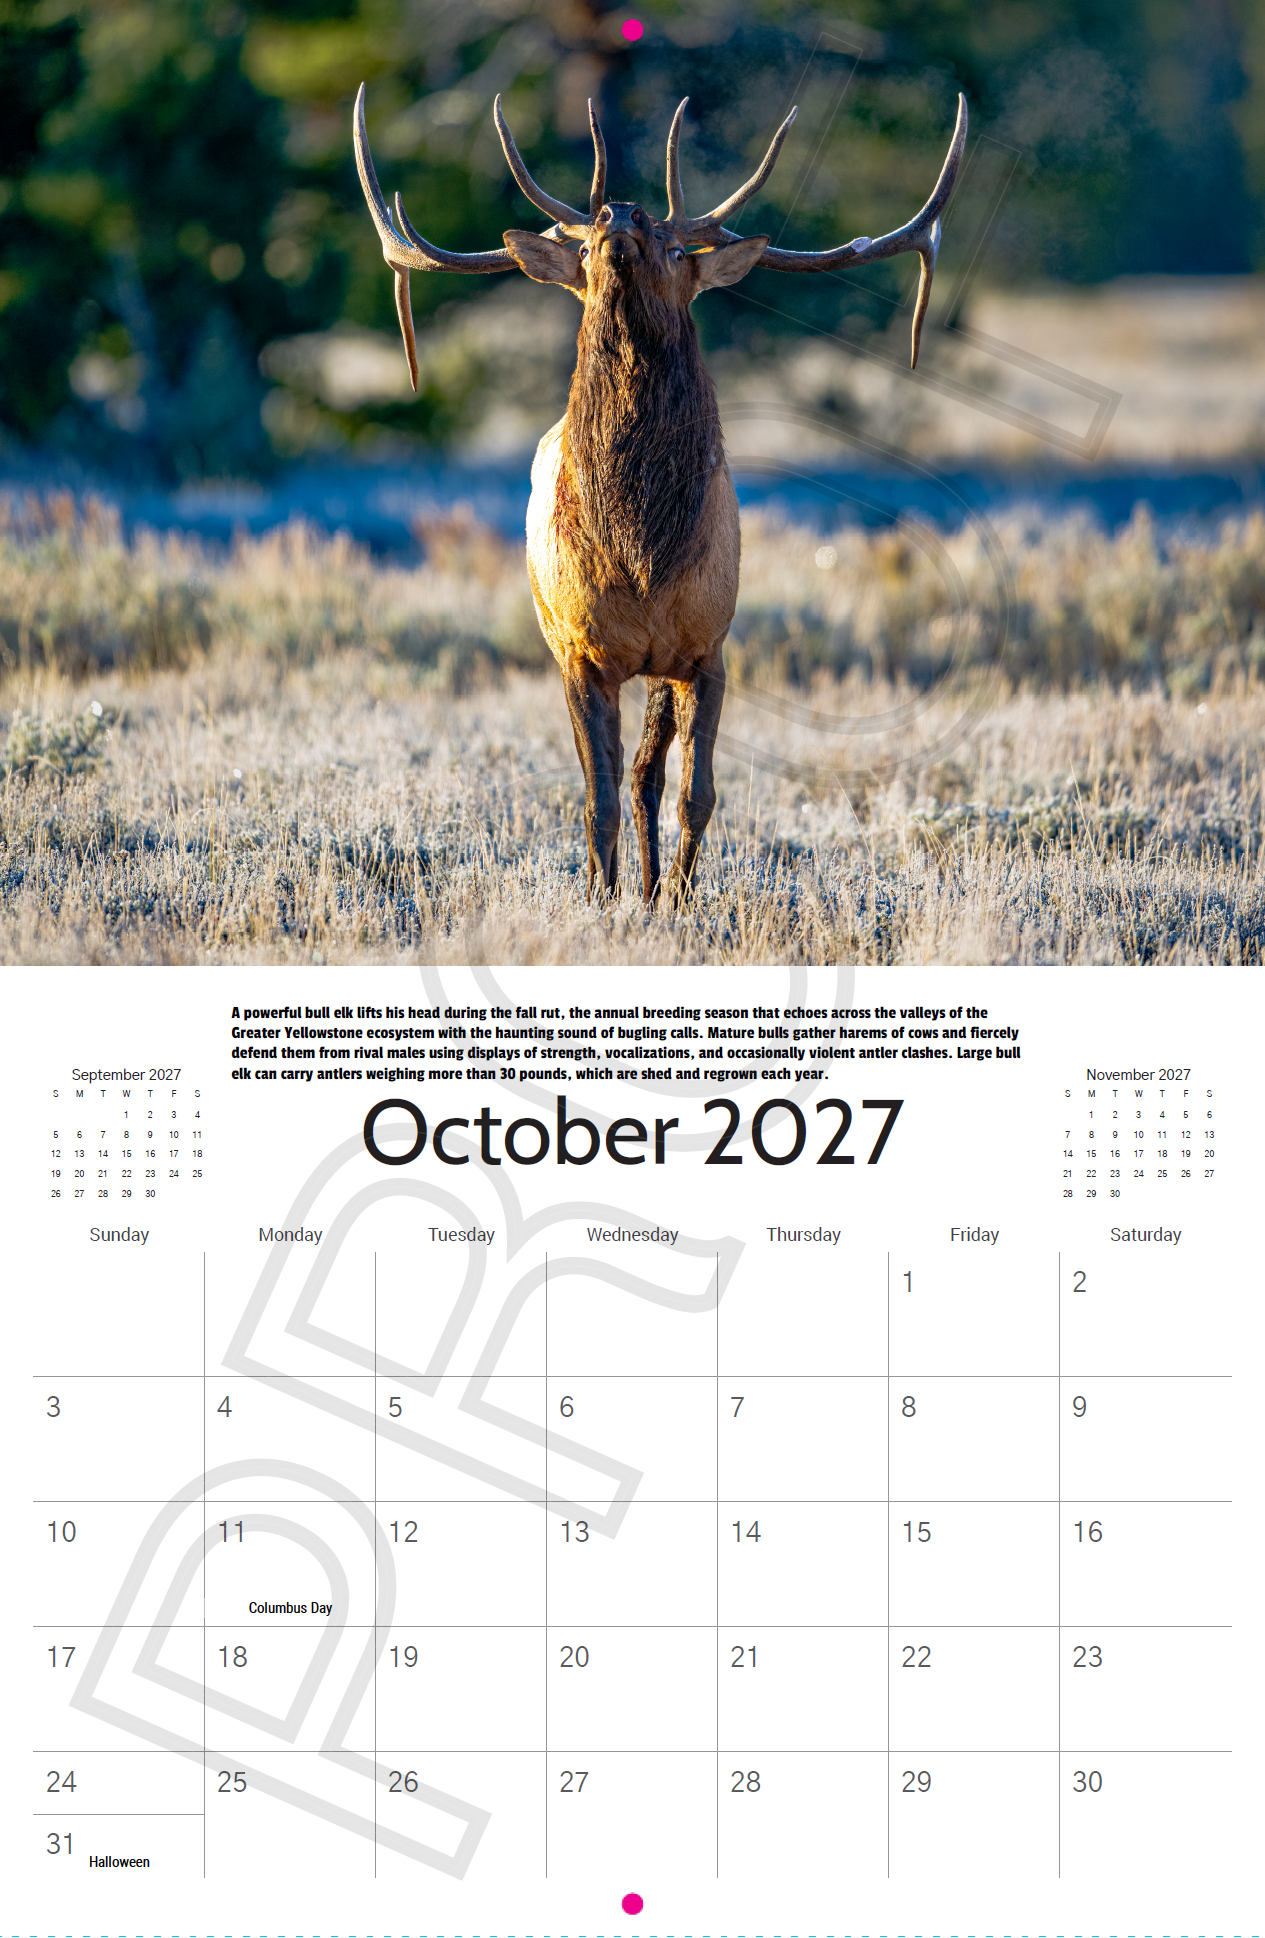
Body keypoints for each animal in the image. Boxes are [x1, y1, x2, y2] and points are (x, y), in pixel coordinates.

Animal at [354, 84, 966, 904]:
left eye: (679, 251)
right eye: (585, 248)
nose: (620, 212)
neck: (642, 553)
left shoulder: (706, 649)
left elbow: (694, 793)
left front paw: (674, 898)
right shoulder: (581, 653)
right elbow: (597, 796)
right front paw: (598, 899)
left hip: (661, 668)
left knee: (649, 772)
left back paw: (647, 887)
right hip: (564, 643)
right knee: (615, 776)